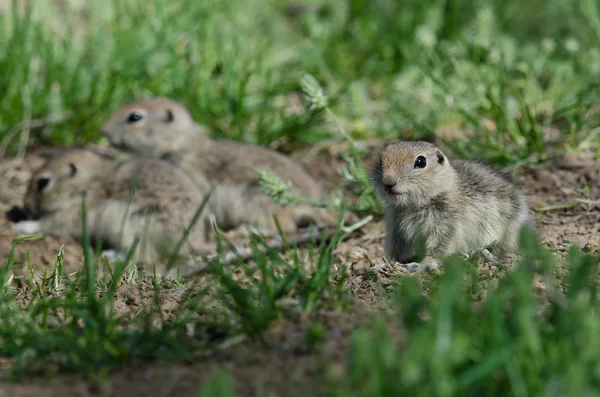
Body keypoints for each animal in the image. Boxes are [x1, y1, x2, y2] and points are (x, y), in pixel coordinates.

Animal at [18, 147, 216, 270]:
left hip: (128, 224)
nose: (25, 204)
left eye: (43, 182)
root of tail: (193, 242)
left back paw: (110, 255)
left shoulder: (69, 216)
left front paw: (21, 225)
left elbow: (46, 224)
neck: (86, 183)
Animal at [370, 139, 536, 270]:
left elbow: (438, 247)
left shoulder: (446, 224)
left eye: (421, 161)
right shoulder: (396, 229)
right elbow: (396, 250)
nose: (388, 182)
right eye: (380, 161)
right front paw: (382, 265)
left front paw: (422, 265)